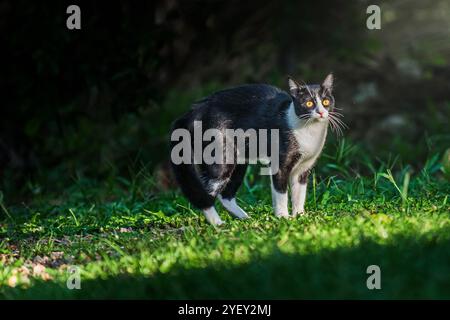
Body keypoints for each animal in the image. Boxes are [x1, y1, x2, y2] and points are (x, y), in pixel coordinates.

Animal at [169, 74, 342, 226]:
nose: (321, 112)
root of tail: (195, 109)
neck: (309, 132)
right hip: (221, 158)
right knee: (206, 193)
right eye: (309, 104)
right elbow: (281, 193)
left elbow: (300, 194)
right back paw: (217, 223)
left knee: (226, 195)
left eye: (326, 101)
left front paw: (300, 215)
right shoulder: (279, 165)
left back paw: (245, 218)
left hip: (239, 162)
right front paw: (283, 217)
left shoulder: (303, 168)